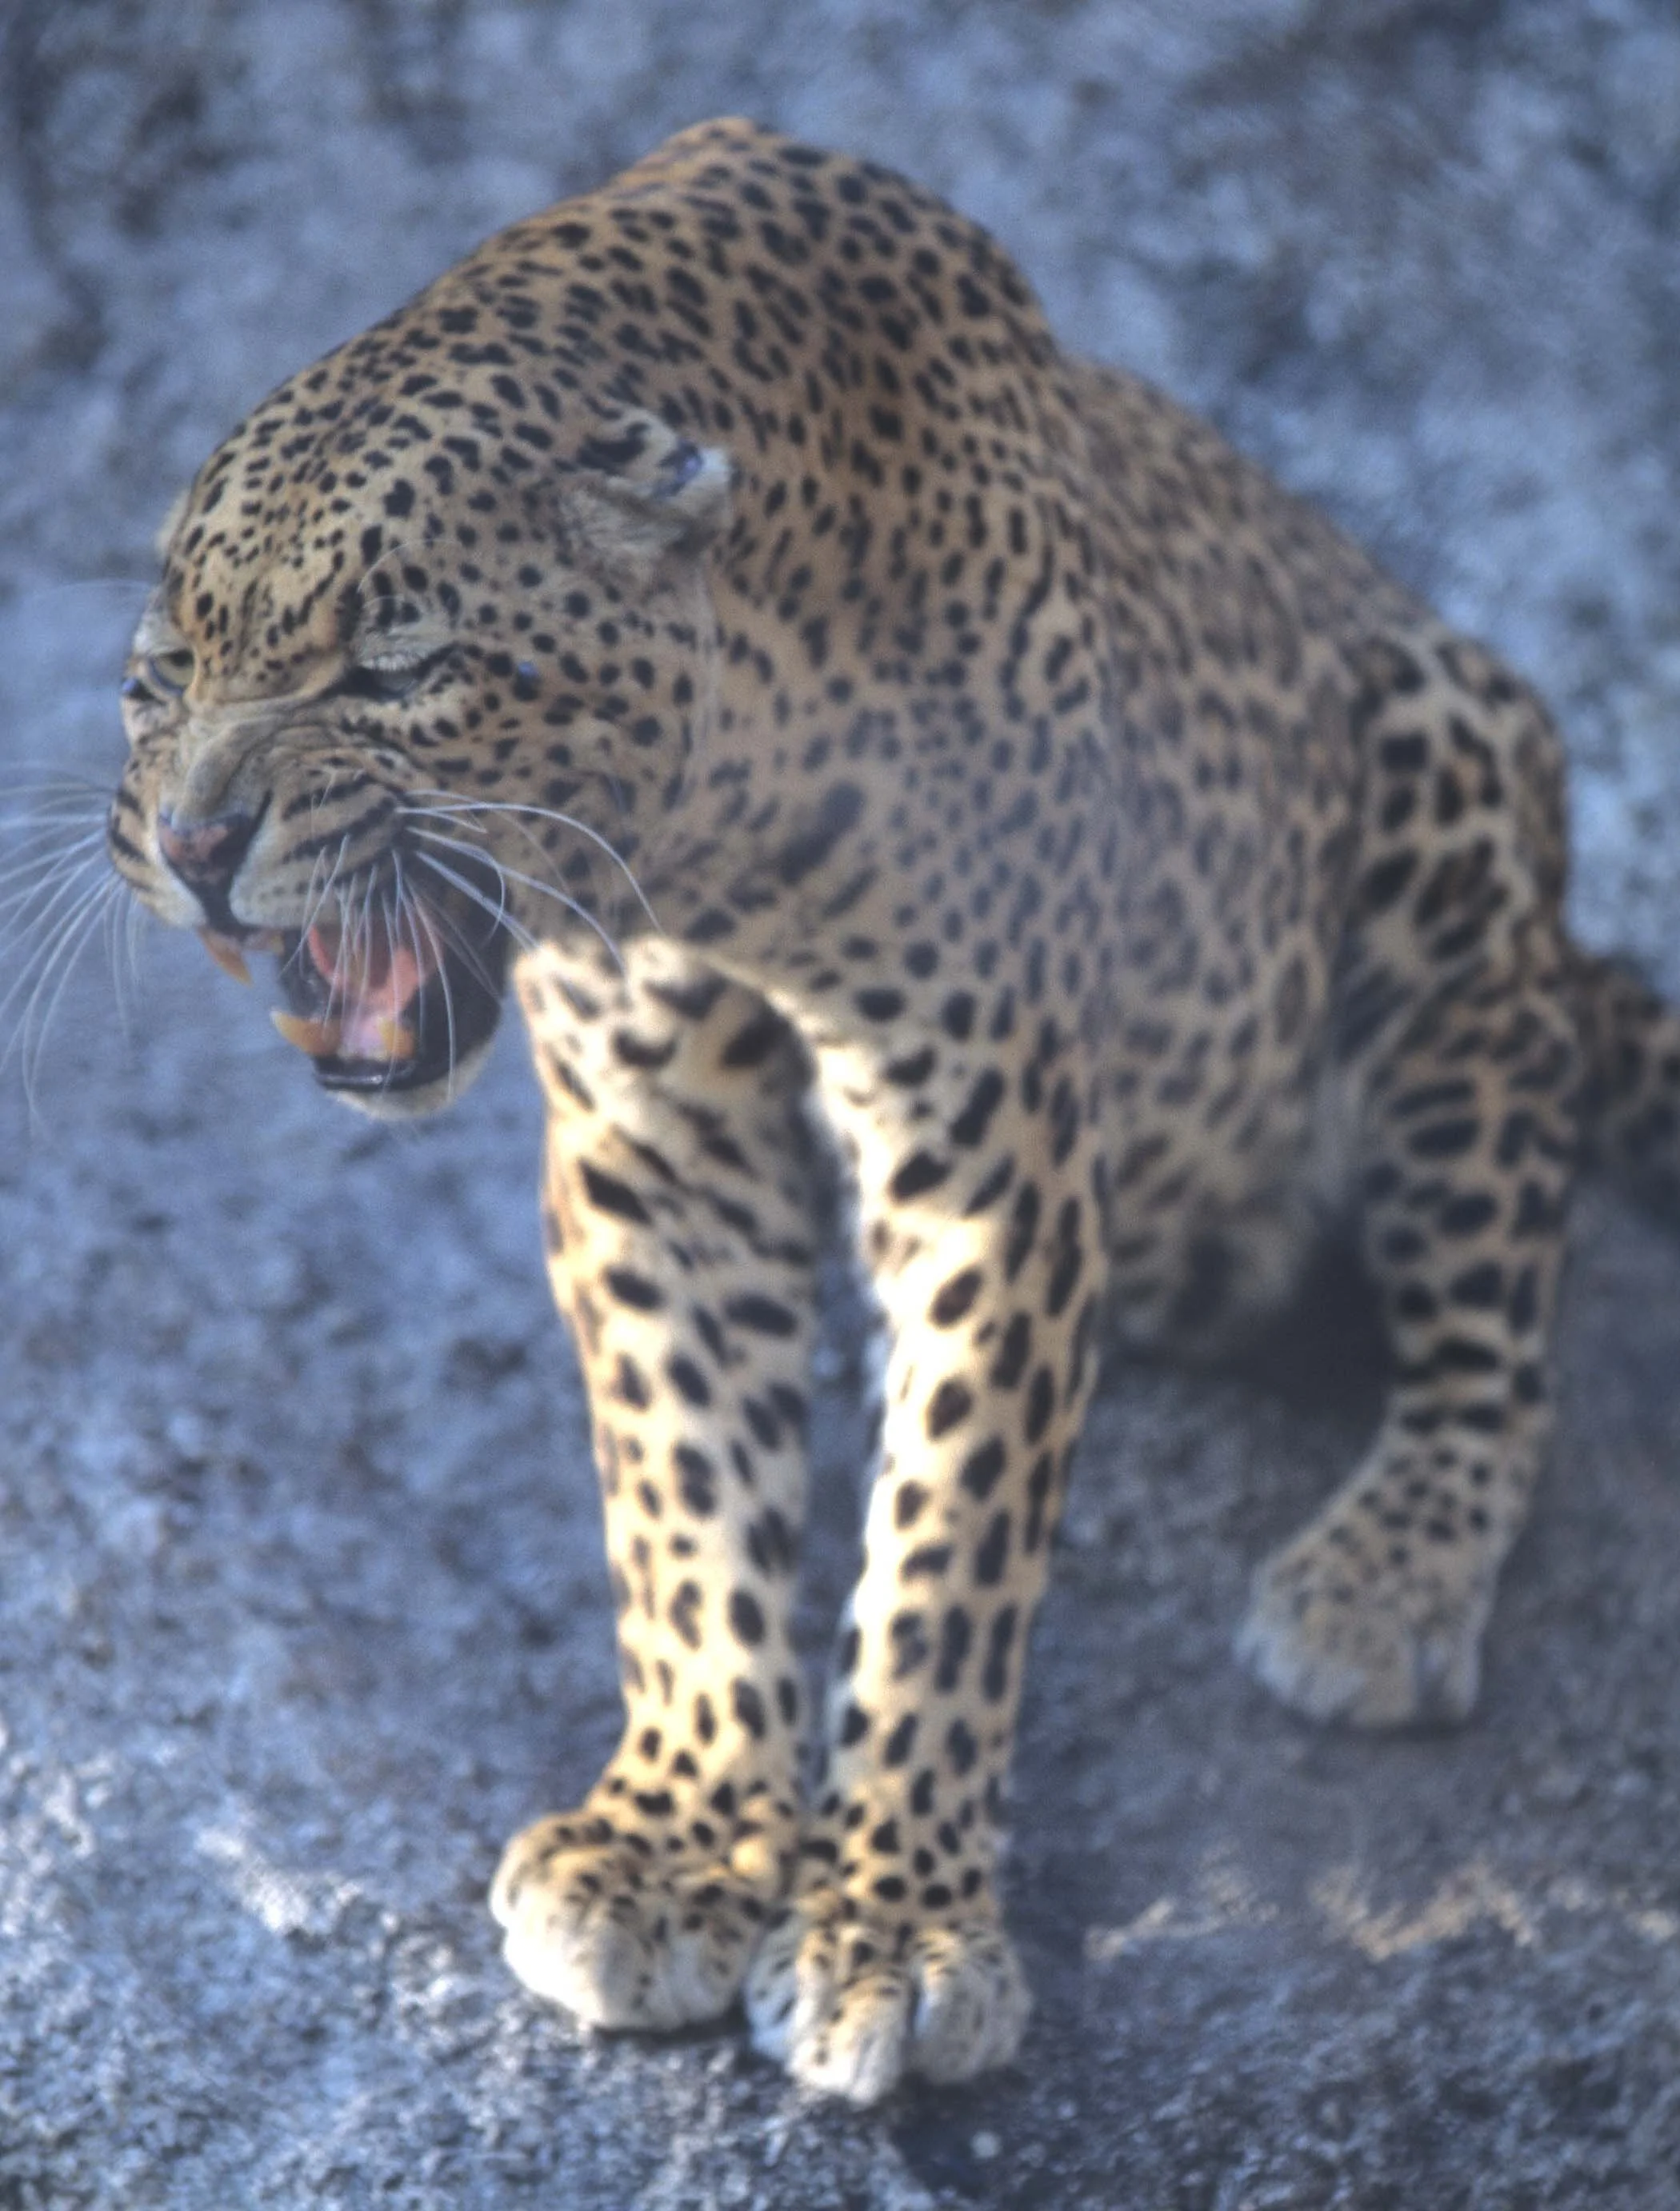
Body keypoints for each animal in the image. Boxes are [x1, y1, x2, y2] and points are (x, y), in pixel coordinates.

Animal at [106, 118, 1680, 2104]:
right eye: (163, 676)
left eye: (390, 666)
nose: (193, 844)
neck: (723, 826)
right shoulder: (659, 1141)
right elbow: (689, 1500)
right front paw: (681, 1844)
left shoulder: (988, 1142)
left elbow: (947, 1541)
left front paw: (897, 1928)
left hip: (1452, 780)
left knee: (1503, 1328)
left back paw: (1379, 1581)